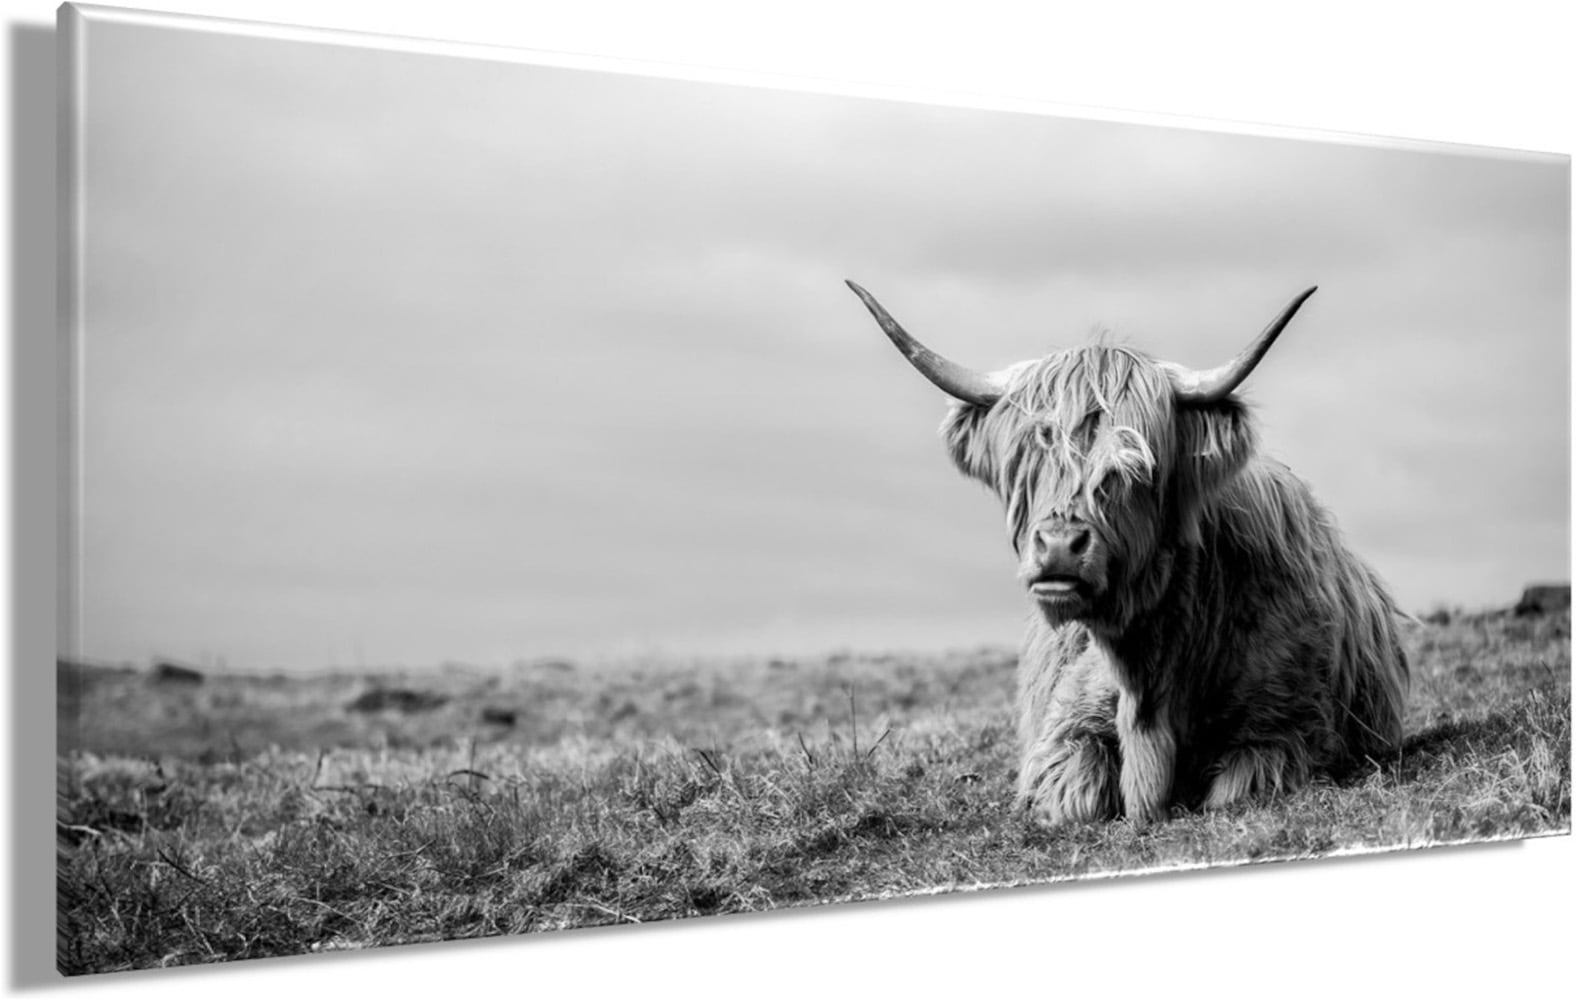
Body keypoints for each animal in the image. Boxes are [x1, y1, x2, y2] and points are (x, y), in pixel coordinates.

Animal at [847, 281, 1409, 827]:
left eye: (1131, 466)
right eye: (1028, 455)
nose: (1059, 546)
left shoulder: (1288, 732)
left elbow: (1230, 792)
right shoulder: (1061, 735)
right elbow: (1082, 795)